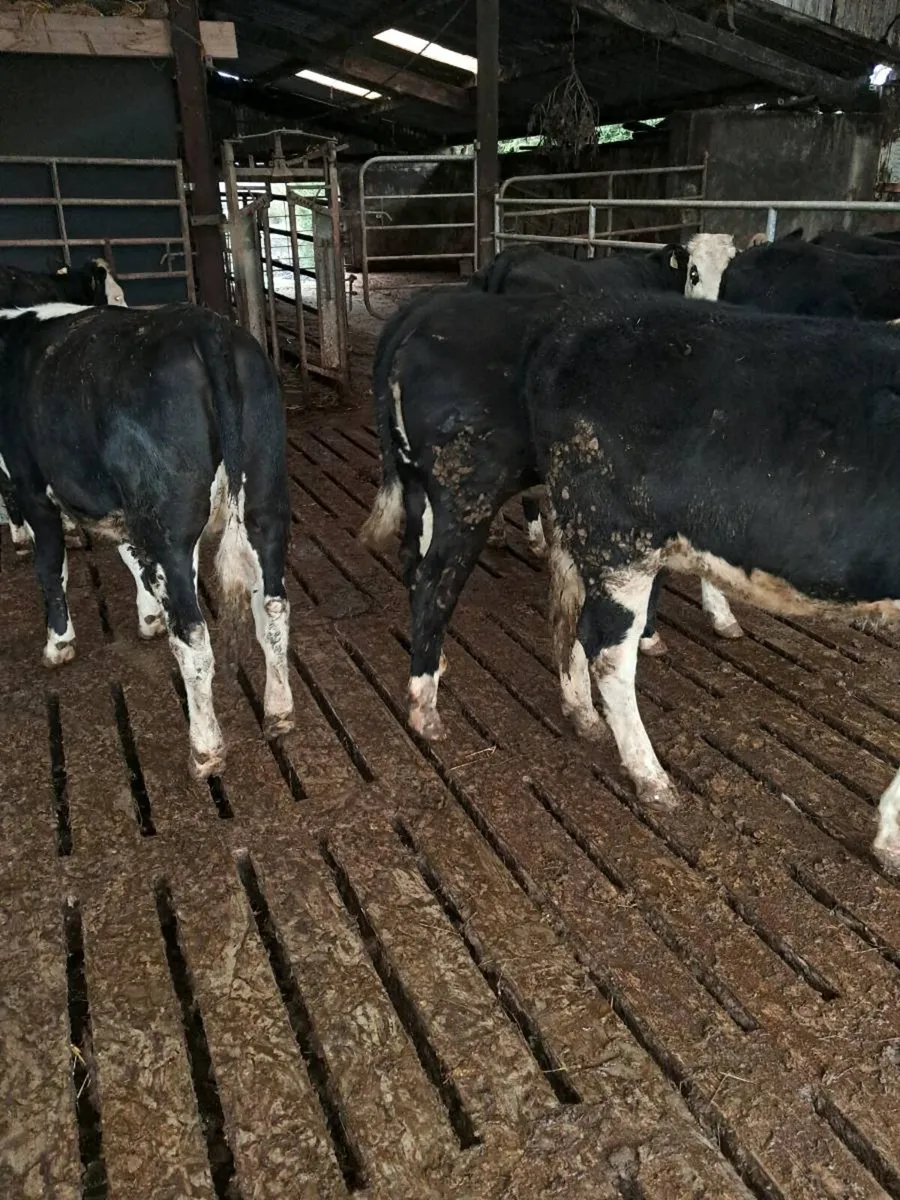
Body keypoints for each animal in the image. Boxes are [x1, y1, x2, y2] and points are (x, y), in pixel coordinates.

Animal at [0, 302, 293, 780]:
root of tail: (205, 327)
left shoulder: (32, 488)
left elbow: (51, 568)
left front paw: (58, 642)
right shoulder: (126, 509)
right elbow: (131, 557)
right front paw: (149, 616)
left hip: (172, 527)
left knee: (193, 636)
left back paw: (205, 749)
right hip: (264, 502)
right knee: (272, 608)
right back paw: (279, 711)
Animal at [511, 293, 900, 873]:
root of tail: (578, 322)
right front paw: (891, 838)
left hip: (582, 532)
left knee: (566, 616)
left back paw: (580, 712)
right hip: (620, 539)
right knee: (607, 651)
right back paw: (650, 776)